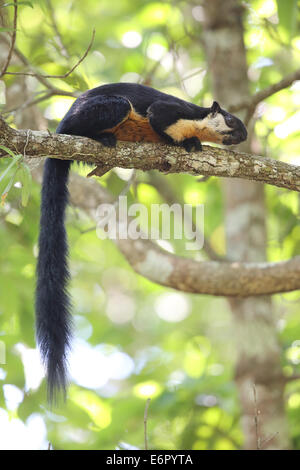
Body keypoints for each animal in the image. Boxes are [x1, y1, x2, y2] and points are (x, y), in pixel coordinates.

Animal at [35, 82, 247, 402]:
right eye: (232, 121)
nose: (243, 136)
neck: (196, 121)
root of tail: (61, 124)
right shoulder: (171, 111)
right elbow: (159, 117)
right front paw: (185, 143)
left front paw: (192, 144)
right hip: (105, 109)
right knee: (89, 124)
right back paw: (101, 137)